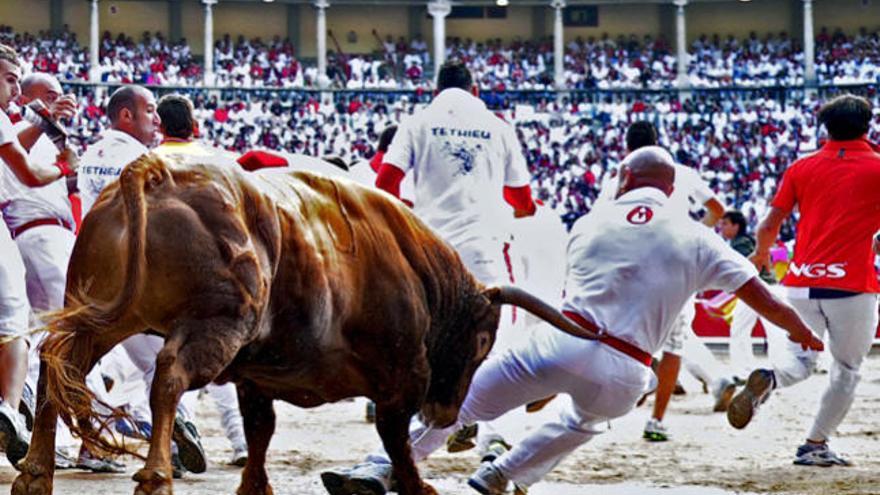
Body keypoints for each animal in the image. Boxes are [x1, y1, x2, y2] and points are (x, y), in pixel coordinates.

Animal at [10, 154, 596, 495]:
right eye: (482, 340)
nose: (446, 412)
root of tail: (152, 171)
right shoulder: (402, 375)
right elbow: (394, 436)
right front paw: (415, 484)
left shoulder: (255, 377)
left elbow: (260, 430)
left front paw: (255, 485)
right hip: (214, 325)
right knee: (168, 377)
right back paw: (155, 476)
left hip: (102, 315)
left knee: (57, 364)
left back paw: (37, 472)